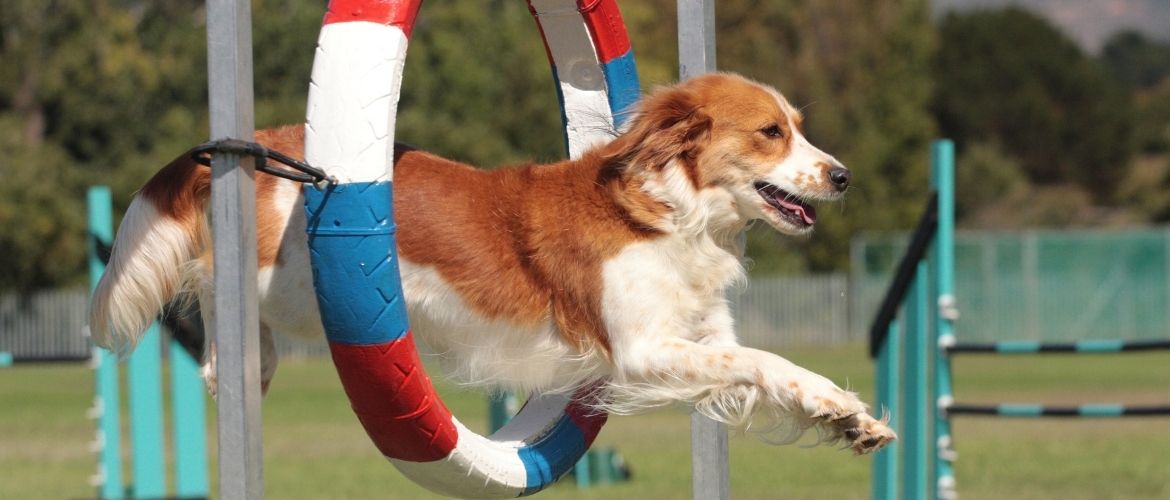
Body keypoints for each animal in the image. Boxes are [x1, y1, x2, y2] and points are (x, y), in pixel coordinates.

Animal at [88, 73, 893, 454]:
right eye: (770, 133)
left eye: (799, 128)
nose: (845, 175)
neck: (673, 213)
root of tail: (262, 143)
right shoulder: (641, 352)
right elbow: (760, 360)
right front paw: (839, 407)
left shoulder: (703, 338)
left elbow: (771, 369)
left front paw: (846, 415)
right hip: (278, 285)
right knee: (216, 310)